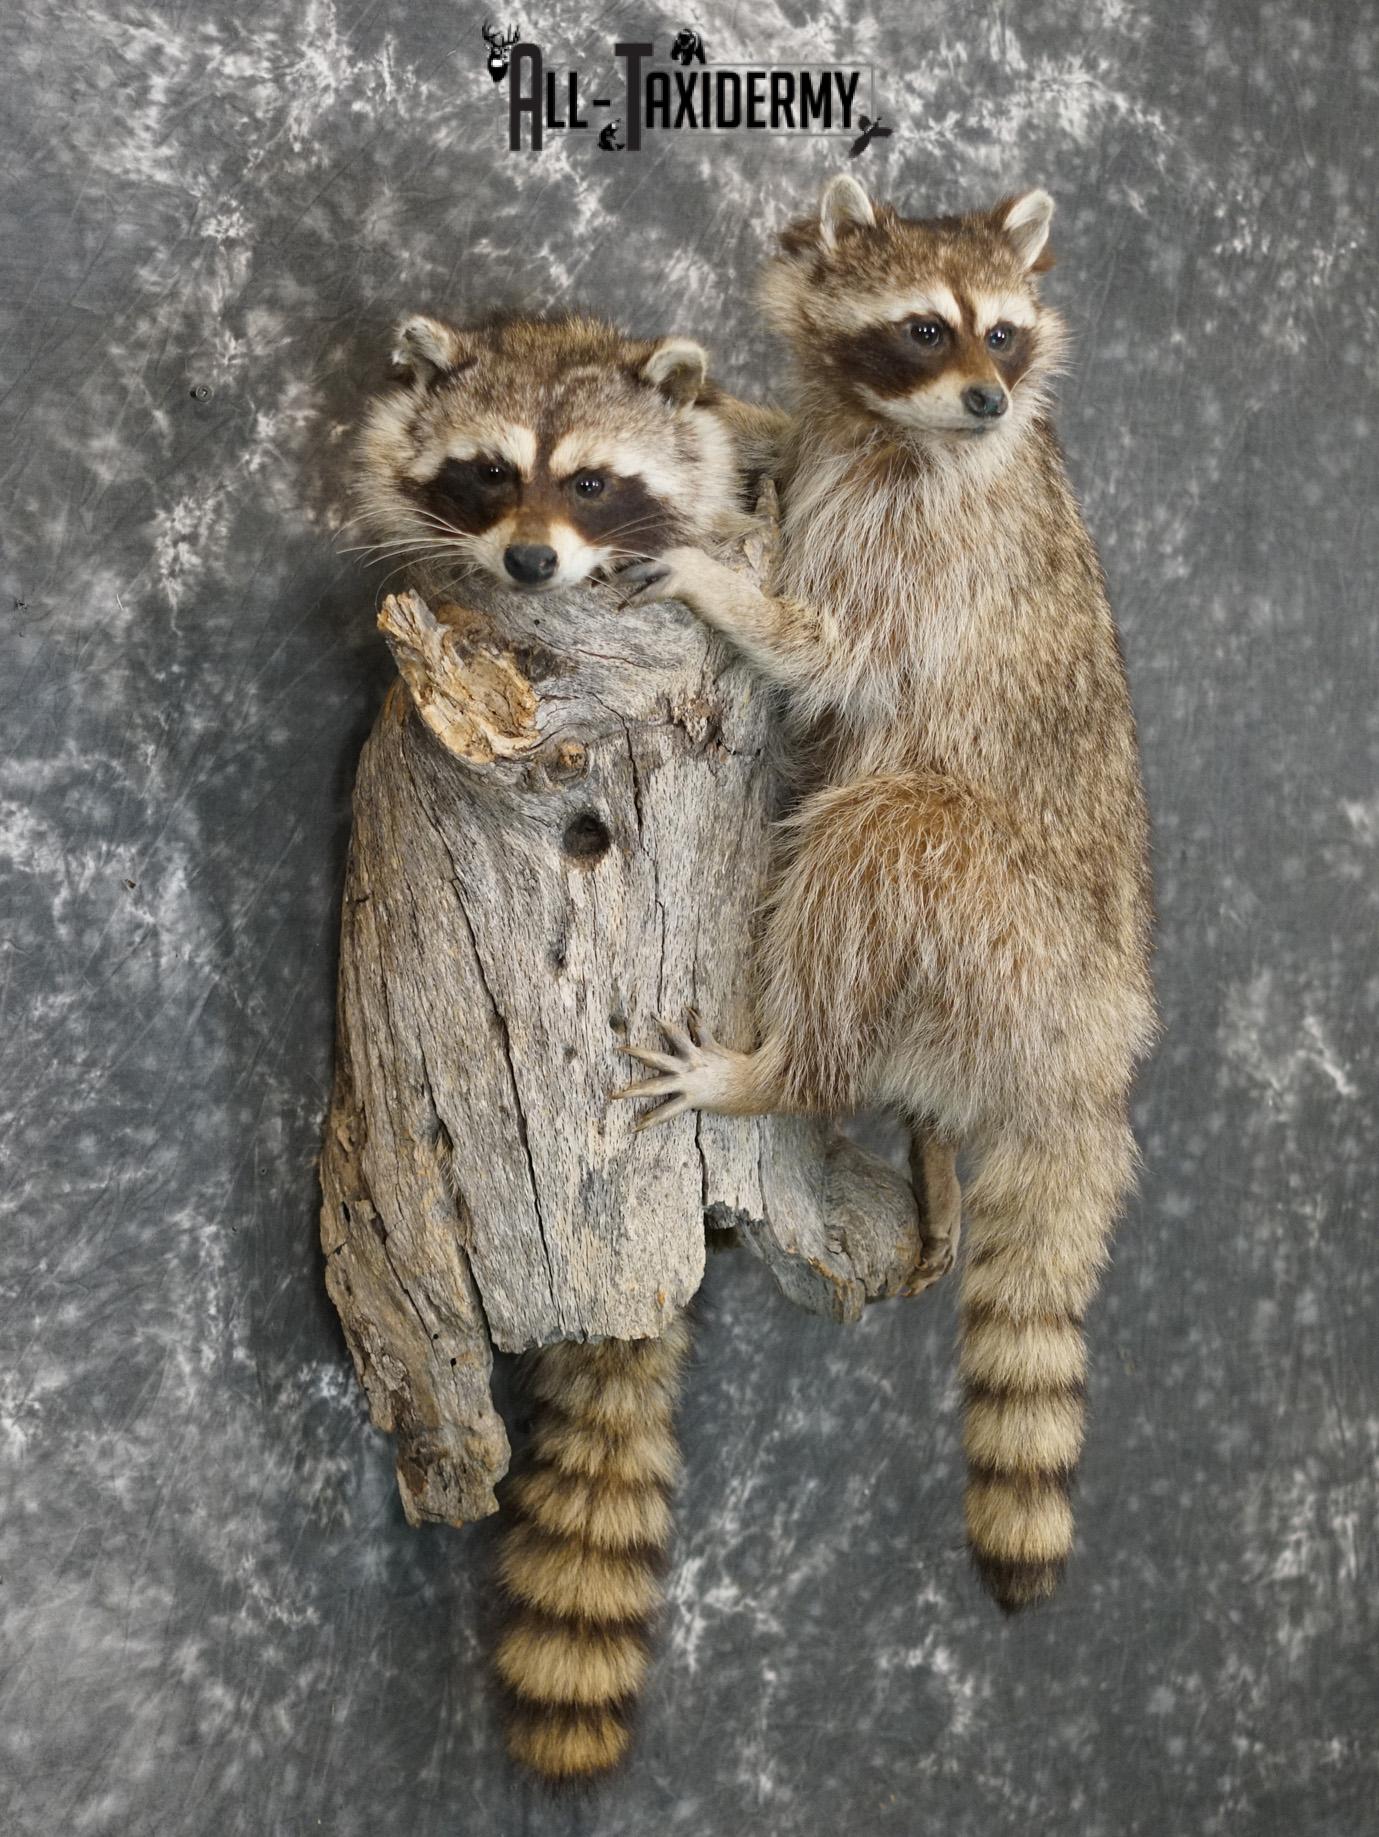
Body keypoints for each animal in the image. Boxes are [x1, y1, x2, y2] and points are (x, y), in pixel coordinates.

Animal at [614, 180, 1157, 1612]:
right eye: (925, 328)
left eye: (1003, 335)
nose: (983, 399)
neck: (895, 428)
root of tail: (1088, 1060)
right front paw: (742, 417)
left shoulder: (928, 546)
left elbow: (842, 654)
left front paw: (724, 586)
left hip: (1000, 930)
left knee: (881, 835)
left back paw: (785, 1067)